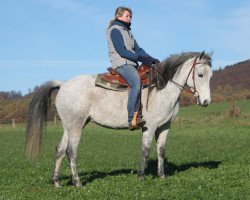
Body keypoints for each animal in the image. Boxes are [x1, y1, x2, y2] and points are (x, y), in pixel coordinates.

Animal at [25, 50, 213, 188]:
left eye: (210, 75)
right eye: (200, 75)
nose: (206, 101)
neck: (161, 89)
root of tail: (63, 84)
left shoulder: (164, 127)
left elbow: (161, 151)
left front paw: (162, 176)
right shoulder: (150, 127)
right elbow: (145, 151)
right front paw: (141, 177)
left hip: (69, 127)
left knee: (60, 150)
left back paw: (57, 182)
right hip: (76, 127)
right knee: (71, 151)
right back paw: (78, 183)